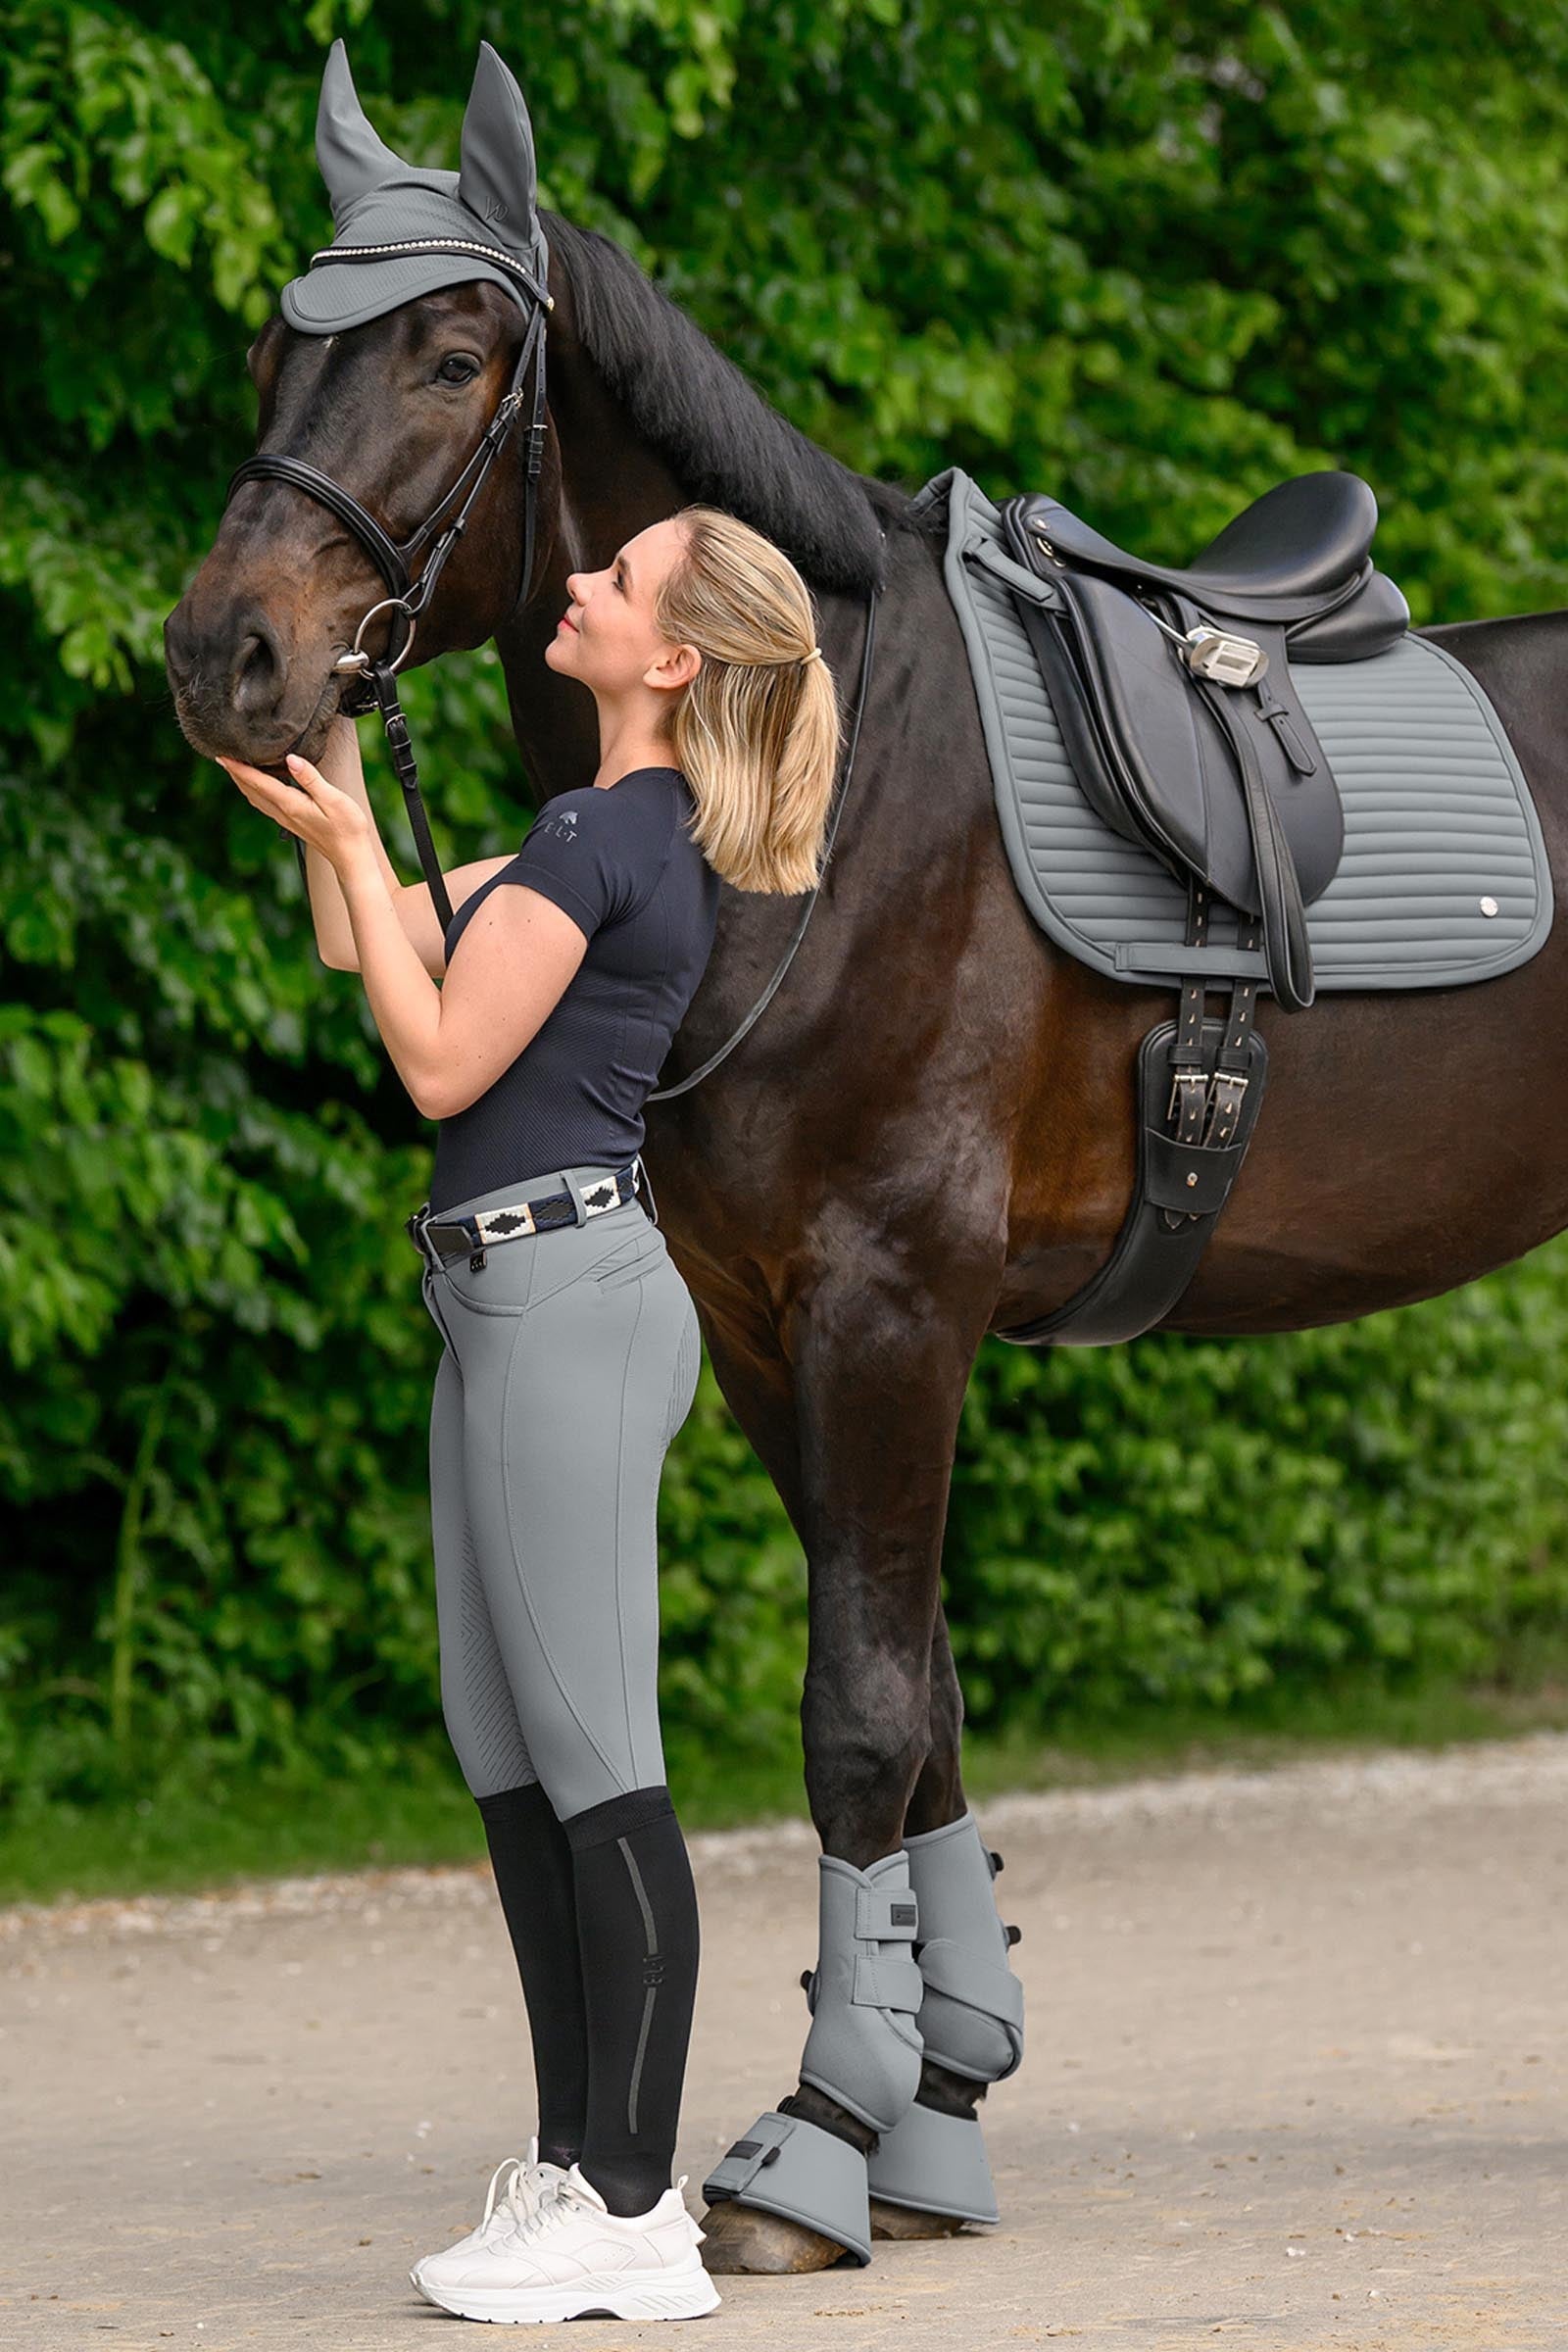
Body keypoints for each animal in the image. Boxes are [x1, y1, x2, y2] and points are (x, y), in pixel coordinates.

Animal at [164, 200, 1568, 2273]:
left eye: (452, 358)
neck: (833, 784)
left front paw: (818, 2143)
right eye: (273, 357)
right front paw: (941, 2096)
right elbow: (929, 1709)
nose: (224, 654)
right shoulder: (770, 1326)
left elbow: (858, 1717)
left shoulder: (890, 1306)